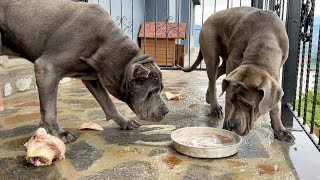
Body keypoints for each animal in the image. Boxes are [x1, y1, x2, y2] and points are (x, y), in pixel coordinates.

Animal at [0, 0, 169, 143]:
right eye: (151, 92)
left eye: (161, 89)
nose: (166, 111)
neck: (107, 47)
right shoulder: (46, 68)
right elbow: (50, 109)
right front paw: (58, 134)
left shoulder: (94, 79)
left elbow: (109, 104)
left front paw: (125, 121)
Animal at [179, 6, 294, 141]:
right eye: (233, 100)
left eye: (247, 104)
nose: (231, 125)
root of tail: (208, 18)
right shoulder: (233, 63)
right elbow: (228, 94)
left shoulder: (275, 73)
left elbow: (275, 106)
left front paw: (280, 130)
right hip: (212, 54)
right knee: (213, 78)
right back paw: (214, 107)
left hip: (224, 60)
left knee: (217, 73)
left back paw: (209, 97)